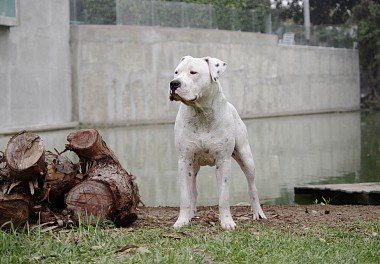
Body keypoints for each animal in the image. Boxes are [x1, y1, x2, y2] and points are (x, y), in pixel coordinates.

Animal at [168, 56, 264, 231]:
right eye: (176, 72)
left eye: (193, 72)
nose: (173, 83)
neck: (201, 113)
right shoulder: (184, 161)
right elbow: (185, 196)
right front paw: (182, 221)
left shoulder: (223, 161)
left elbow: (223, 196)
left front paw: (227, 222)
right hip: (193, 166)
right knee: (193, 191)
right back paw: (191, 214)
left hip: (246, 158)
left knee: (252, 185)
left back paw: (258, 213)